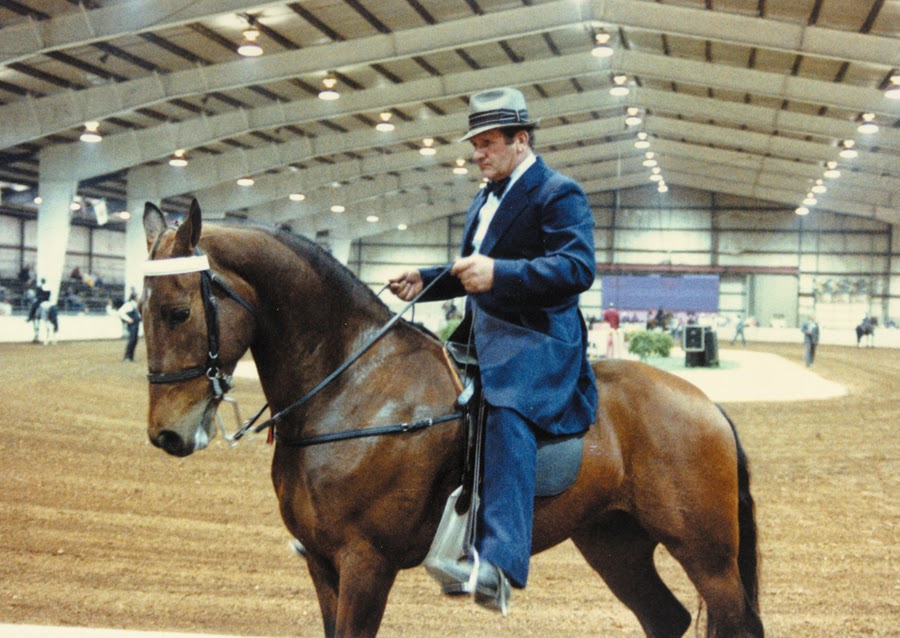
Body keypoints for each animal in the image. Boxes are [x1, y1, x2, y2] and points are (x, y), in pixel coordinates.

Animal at [140, 199, 764, 638]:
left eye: (179, 311)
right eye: (140, 309)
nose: (168, 433)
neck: (352, 388)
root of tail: (708, 406)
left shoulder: (365, 563)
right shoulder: (321, 563)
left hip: (707, 556)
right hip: (616, 544)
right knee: (666, 620)